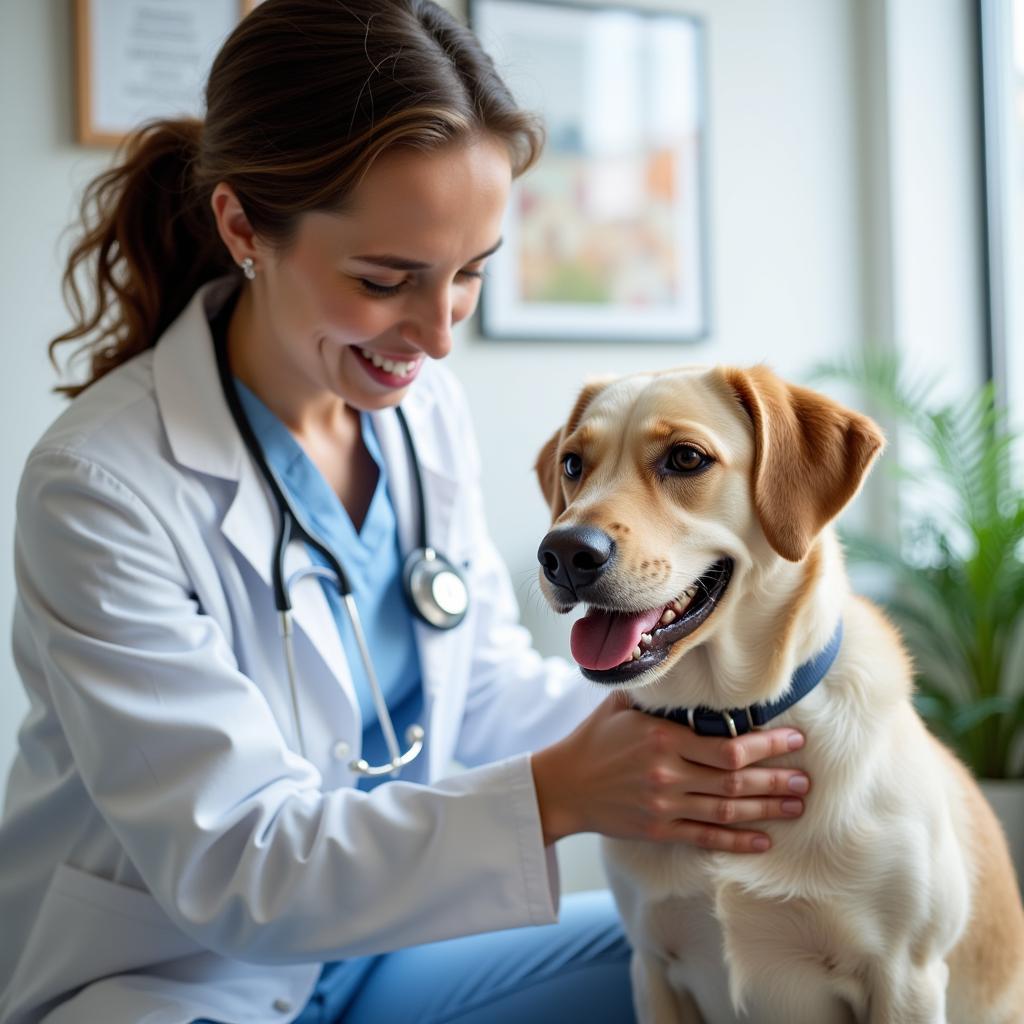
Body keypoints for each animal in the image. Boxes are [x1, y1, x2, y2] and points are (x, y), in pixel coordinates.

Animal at [532, 366, 1024, 1024]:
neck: (734, 715)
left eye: (686, 458)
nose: (562, 554)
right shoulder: (653, 969)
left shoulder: (905, 978)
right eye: (573, 464)